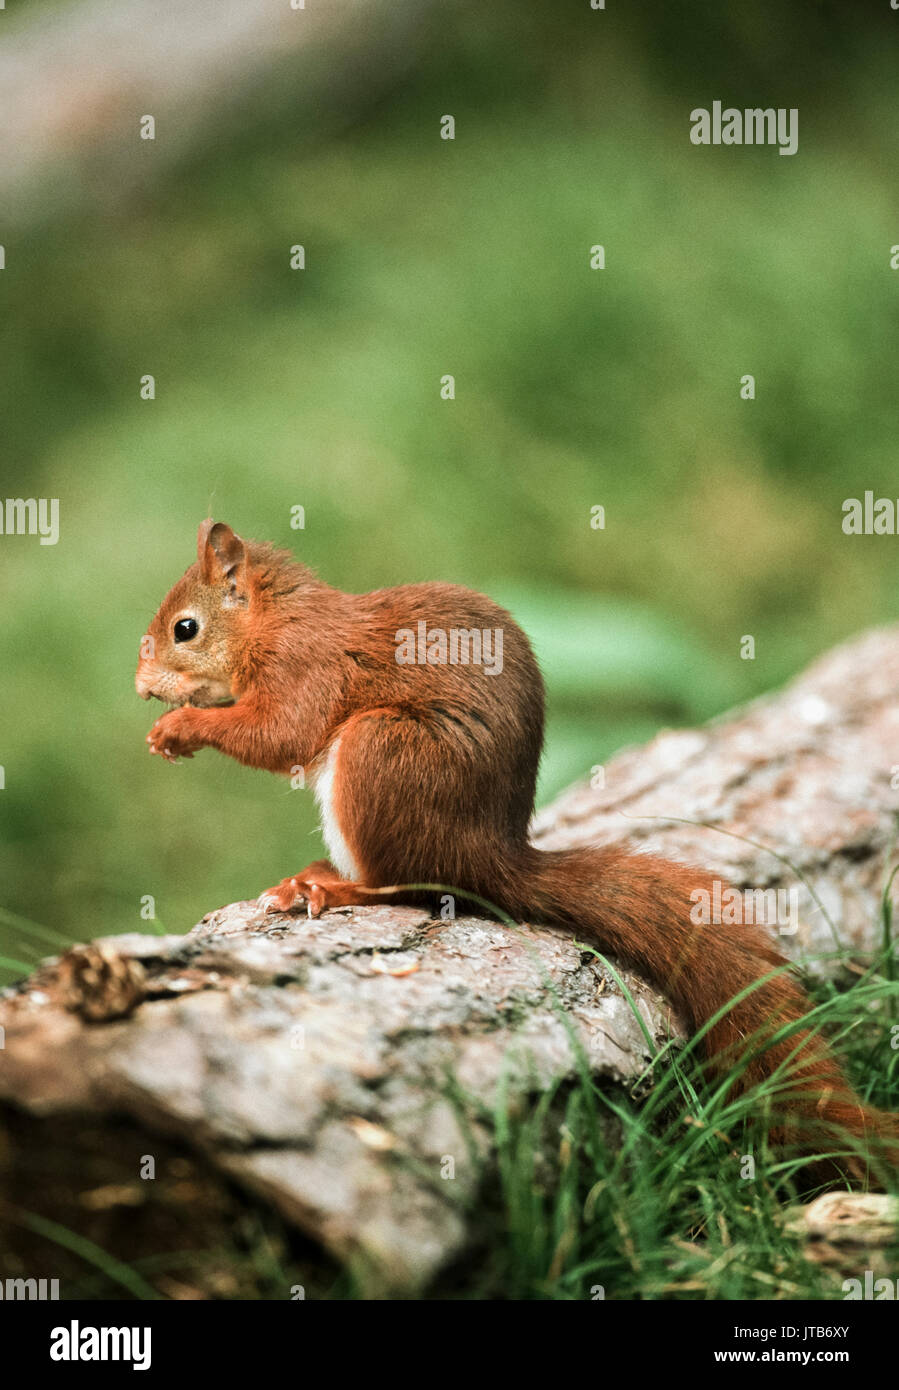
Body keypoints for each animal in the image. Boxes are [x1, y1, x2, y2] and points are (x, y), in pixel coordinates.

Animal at [136, 519, 894, 1173]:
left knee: (411, 885)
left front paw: (180, 727)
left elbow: (279, 734)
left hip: (382, 753)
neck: (274, 620)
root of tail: (495, 857)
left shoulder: (306, 669)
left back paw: (330, 885)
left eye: (184, 628)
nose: (141, 683)